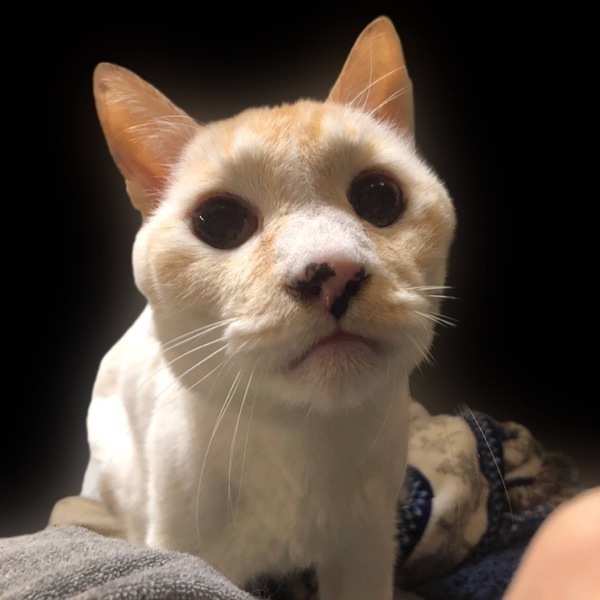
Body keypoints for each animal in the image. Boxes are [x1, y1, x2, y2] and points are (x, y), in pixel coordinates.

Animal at [81, 15, 456, 600]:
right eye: (219, 222)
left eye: (379, 197)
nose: (333, 272)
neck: (299, 447)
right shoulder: (189, 552)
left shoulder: (367, 552)